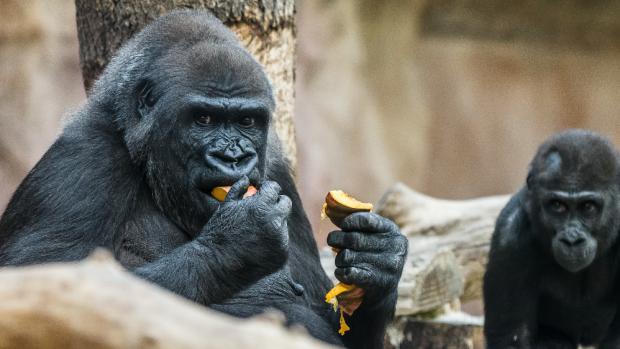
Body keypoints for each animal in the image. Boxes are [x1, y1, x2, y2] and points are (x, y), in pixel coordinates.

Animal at [0, 9, 406, 346]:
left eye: (246, 121)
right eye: (204, 119)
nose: (234, 156)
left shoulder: (275, 166)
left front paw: (379, 262)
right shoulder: (85, 156)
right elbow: (46, 287)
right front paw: (236, 242)